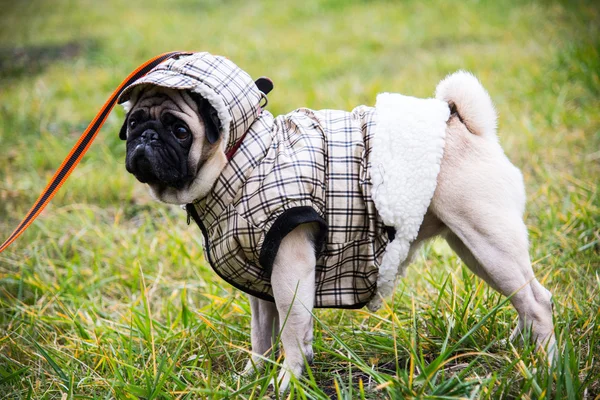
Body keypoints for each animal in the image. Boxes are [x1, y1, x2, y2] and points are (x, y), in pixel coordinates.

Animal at [118, 51, 556, 392]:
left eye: (179, 130)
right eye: (134, 123)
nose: (146, 136)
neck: (242, 155)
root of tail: (466, 126)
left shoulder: (290, 267)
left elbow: (292, 331)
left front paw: (288, 382)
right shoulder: (260, 279)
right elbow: (261, 335)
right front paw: (253, 376)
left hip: (488, 240)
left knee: (536, 301)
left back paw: (544, 367)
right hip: (473, 249)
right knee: (522, 297)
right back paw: (518, 350)